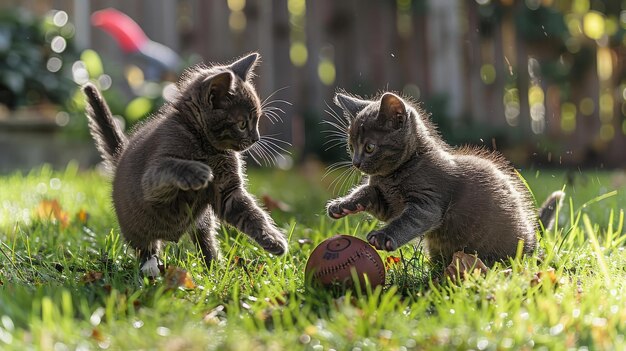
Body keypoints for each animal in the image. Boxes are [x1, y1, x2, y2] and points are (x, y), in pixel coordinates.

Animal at [82, 53, 288, 276]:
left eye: (256, 121)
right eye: (242, 124)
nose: (256, 138)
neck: (205, 146)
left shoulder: (228, 192)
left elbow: (252, 215)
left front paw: (273, 240)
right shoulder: (152, 178)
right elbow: (170, 166)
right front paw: (198, 172)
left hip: (202, 222)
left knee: (205, 240)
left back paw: (214, 269)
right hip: (138, 231)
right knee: (146, 250)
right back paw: (150, 270)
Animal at [324, 92, 564, 266]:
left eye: (369, 147)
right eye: (351, 146)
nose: (356, 162)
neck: (394, 174)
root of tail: (532, 235)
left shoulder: (428, 201)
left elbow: (408, 220)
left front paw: (383, 236)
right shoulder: (386, 204)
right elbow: (369, 194)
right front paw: (344, 205)